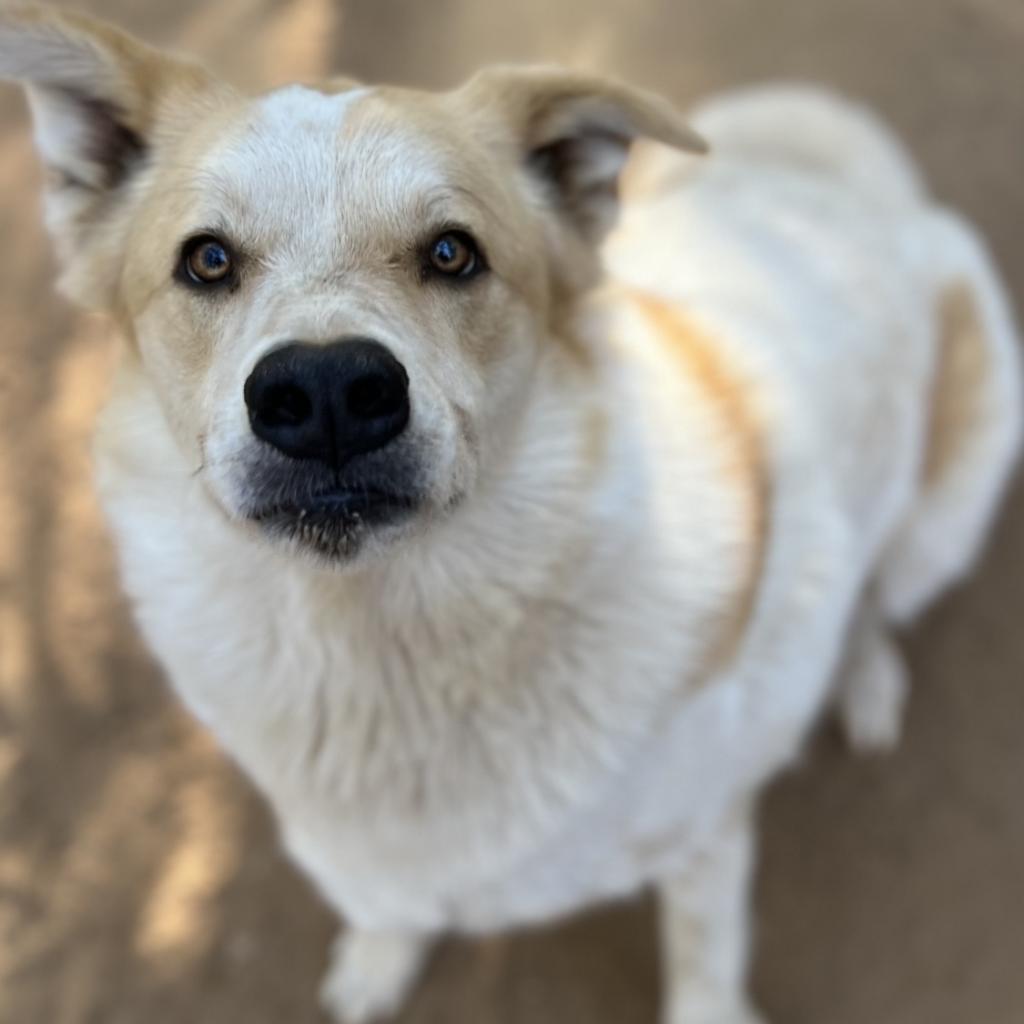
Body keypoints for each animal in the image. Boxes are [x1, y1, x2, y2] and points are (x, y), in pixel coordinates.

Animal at [4, 8, 1019, 1024]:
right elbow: (384, 906)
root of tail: (855, 197)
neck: (383, 653)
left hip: (942, 510)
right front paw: (377, 963)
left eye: (453, 253)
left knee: (877, 594)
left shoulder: (705, 835)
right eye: (207, 260)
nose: (329, 392)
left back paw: (865, 681)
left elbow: (704, 961)